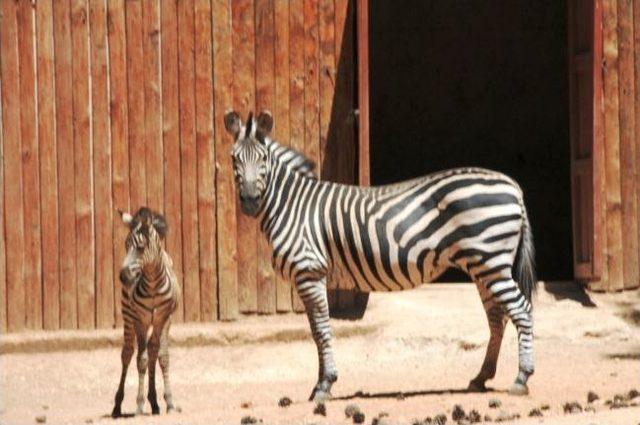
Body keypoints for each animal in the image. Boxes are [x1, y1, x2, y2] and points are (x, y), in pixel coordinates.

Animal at [111, 207, 181, 416]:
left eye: (141, 247)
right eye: (126, 245)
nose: (123, 277)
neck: (152, 286)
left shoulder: (164, 318)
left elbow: (162, 357)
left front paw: (169, 402)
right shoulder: (139, 320)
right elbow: (140, 360)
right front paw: (139, 405)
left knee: (153, 350)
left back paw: (155, 403)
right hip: (127, 316)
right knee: (127, 353)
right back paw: (117, 406)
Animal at [224, 109, 536, 400]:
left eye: (263, 158)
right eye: (234, 159)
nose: (250, 201)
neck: (292, 205)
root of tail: (512, 185)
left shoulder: (310, 271)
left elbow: (322, 330)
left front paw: (325, 385)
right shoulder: (310, 276)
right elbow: (315, 331)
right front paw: (320, 383)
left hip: (490, 261)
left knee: (521, 310)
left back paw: (521, 378)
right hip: (483, 265)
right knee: (497, 317)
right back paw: (481, 377)